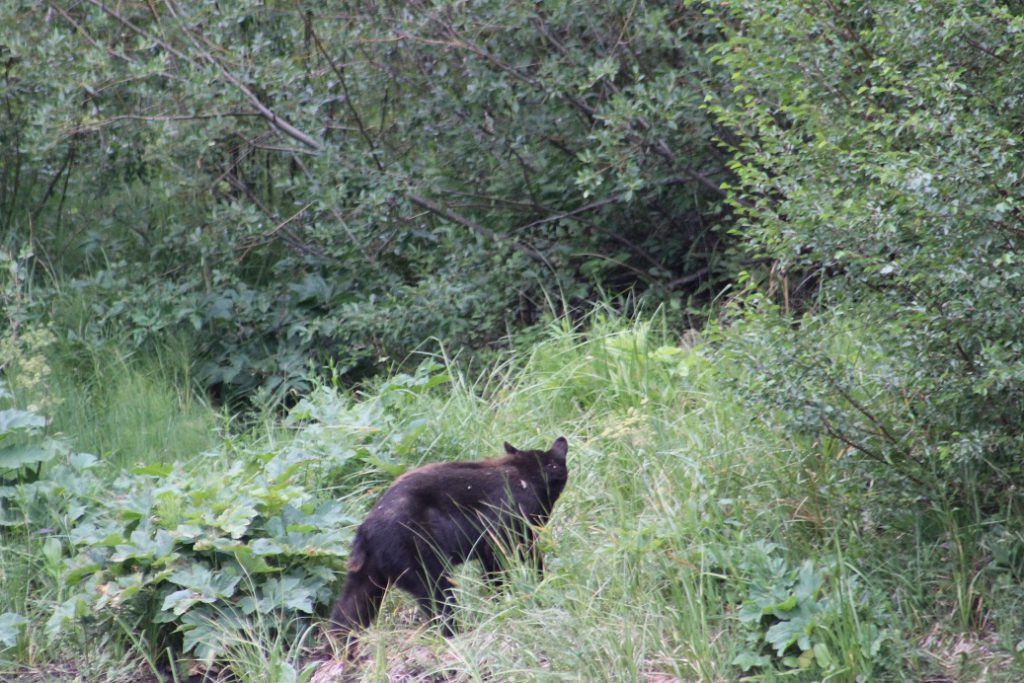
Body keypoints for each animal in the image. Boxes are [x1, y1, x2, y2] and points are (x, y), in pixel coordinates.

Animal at [333, 438, 569, 643]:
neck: (526, 475)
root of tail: (364, 532)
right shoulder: (507, 529)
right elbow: (517, 561)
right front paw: (533, 586)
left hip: (368, 574)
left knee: (347, 611)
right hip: (419, 558)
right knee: (438, 599)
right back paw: (458, 633)